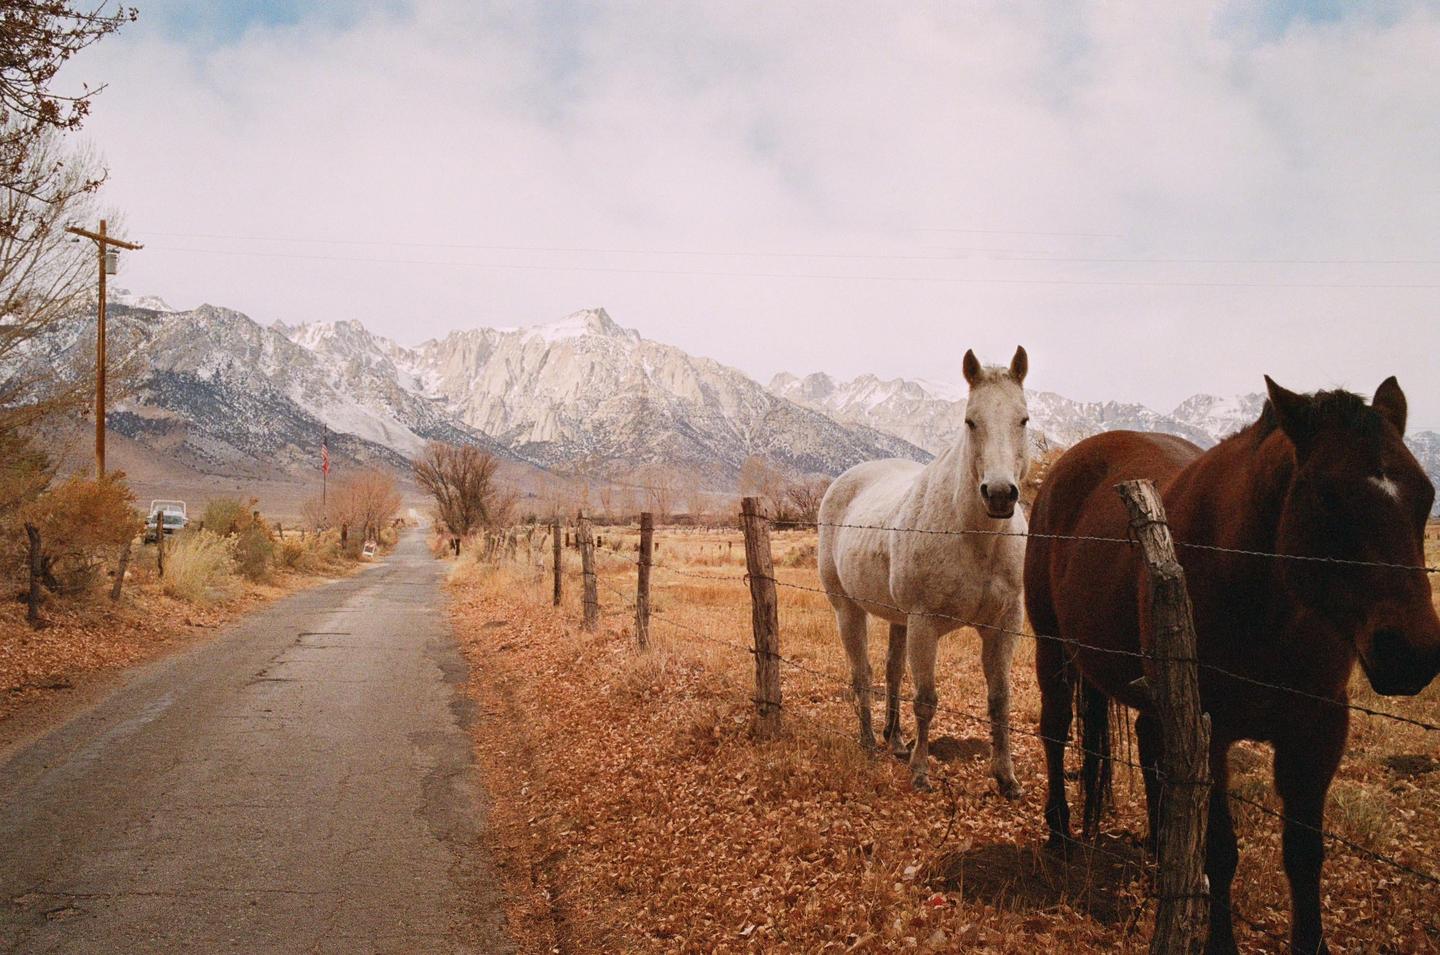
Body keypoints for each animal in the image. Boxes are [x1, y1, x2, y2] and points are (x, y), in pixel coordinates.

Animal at [817, 347, 1031, 795]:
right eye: (970, 420)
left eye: (1023, 419)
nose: (1000, 495)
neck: (975, 538)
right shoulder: (924, 623)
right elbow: (926, 699)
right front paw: (920, 770)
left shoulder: (1004, 626)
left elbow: (1000, 700)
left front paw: (1006, 777)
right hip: (849, 610)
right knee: (862, 674)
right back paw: (869, 740)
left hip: (898, 620)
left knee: (892, 673)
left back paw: (895, 739)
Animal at [1024, 375, 1440, 954]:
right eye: (1326, 496)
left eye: (1424, 494)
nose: (1411, 652)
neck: (1263, 598)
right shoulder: (1214, 728)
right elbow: (1221, 850)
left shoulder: (1317, 729)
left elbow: (1304, 855)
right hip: (1055, 651)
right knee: (1056, 730)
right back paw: (1061, 831)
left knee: (1151, 749)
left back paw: (1161, 852)